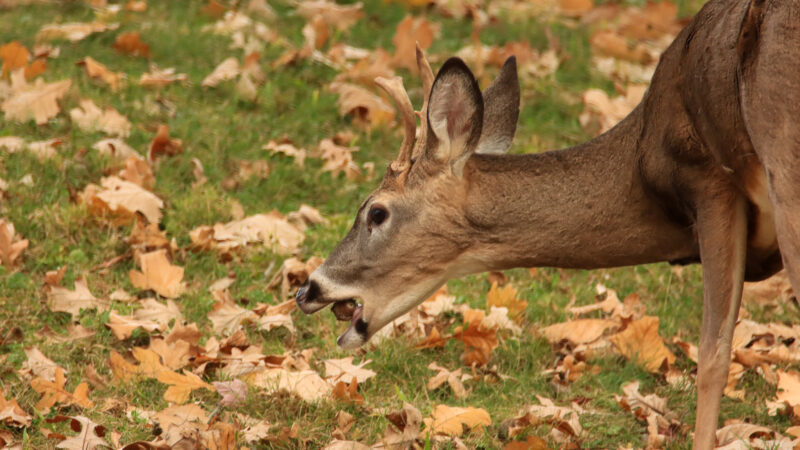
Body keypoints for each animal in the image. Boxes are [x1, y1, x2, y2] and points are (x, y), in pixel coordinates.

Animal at [296, 0, 800, 446]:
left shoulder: (711, 181)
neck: (641, 163)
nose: (308, 288)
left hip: (783, 159)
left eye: (376, 212)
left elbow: (712, 357)